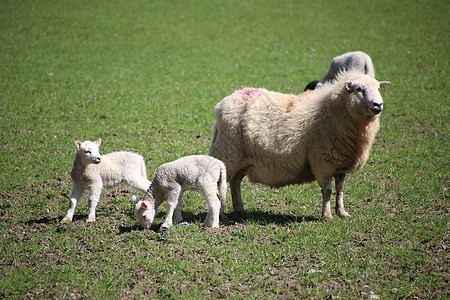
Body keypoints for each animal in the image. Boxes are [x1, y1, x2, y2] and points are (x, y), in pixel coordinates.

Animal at [209, 71, 388, 219]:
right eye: (358, 89)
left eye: (378, 88)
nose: (378, 104)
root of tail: (222, 104)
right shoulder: (323, 162)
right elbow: (328, 191)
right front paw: (327, 215)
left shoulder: (340, 163)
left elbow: (340, 190)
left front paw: (342, 212)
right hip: (228, 154)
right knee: (221, 186)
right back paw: (222, 216)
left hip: (241, 159)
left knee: (235, 183)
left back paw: (240, 210)